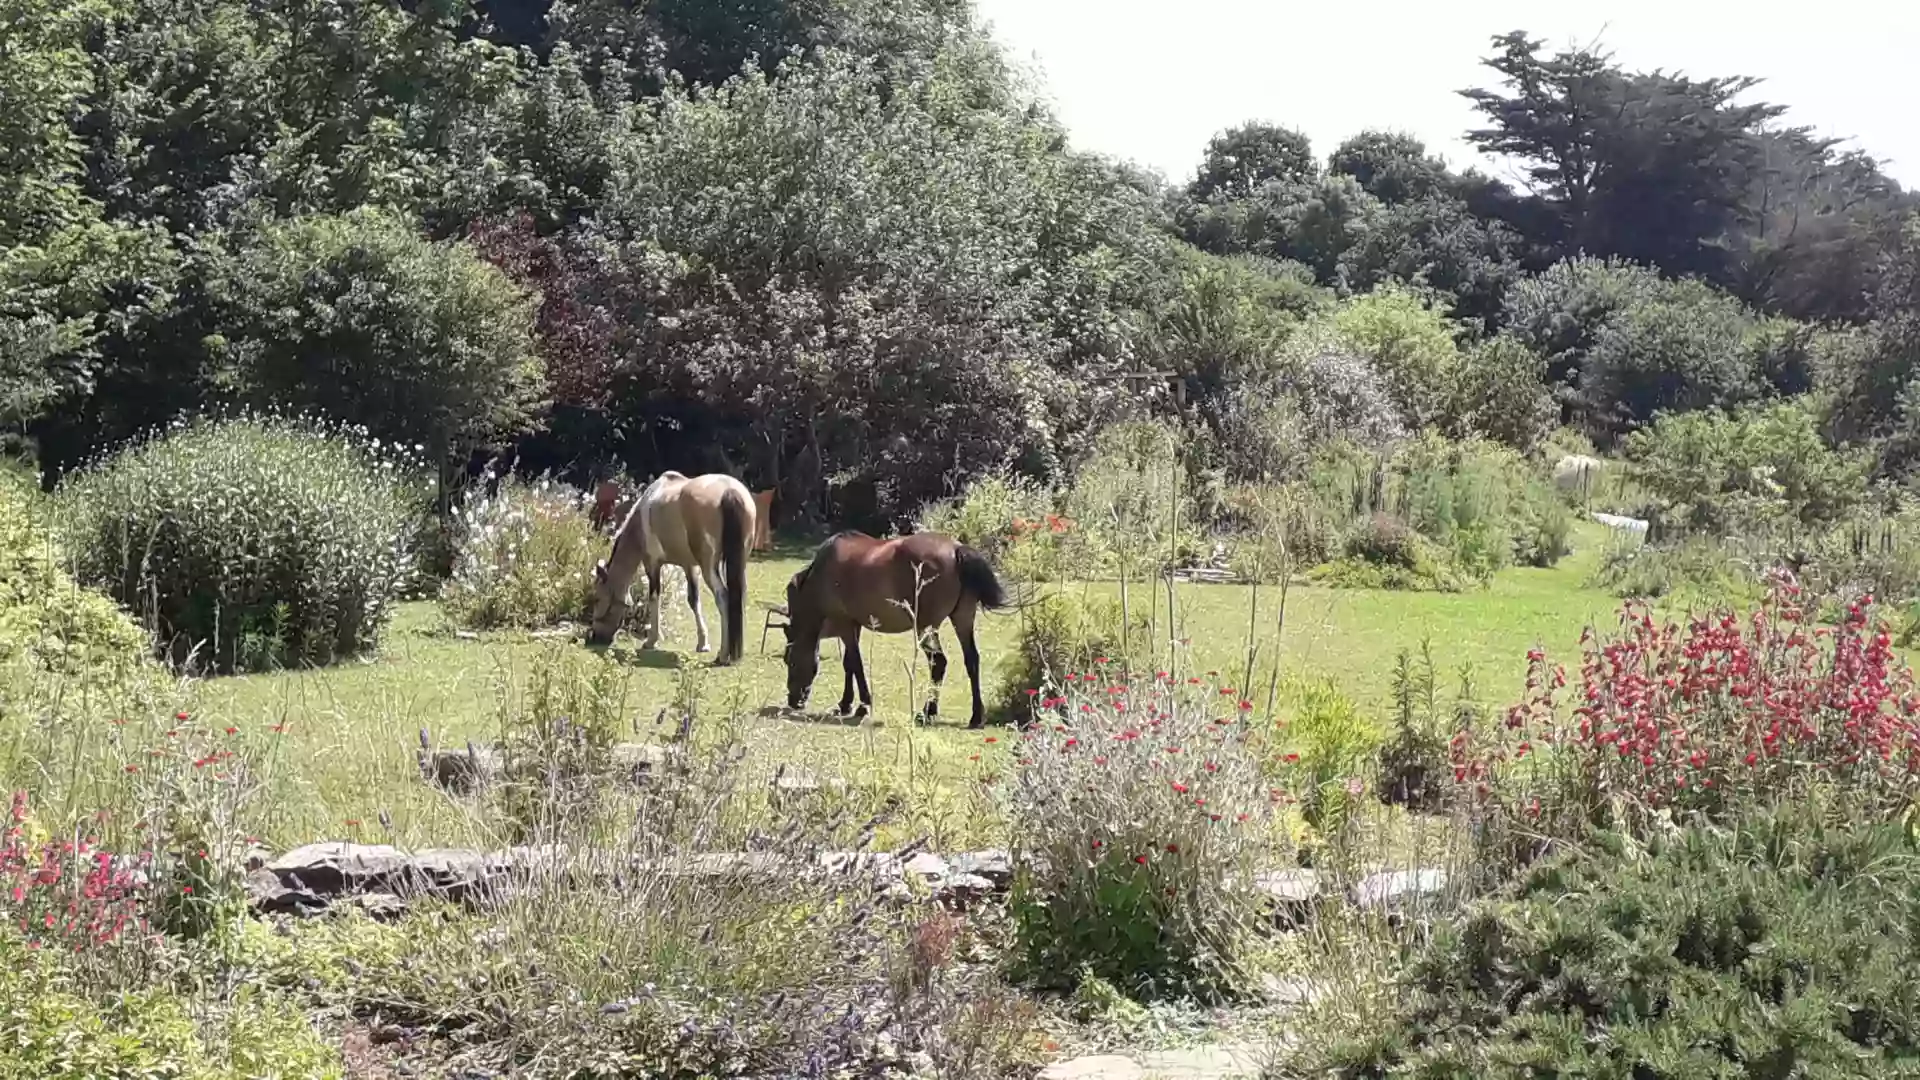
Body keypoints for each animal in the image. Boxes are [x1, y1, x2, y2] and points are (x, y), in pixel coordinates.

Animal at [587, 472, 752, 664]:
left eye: (597, 599)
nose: (595, 636)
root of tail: (729, 491)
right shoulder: (690, 566)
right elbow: (694, 600)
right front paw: (703, 643)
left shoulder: (652, 564)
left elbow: (653, 597)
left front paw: (651, 640)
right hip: (738, 565)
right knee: (737, 599)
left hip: (709, 568)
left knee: (723, 598)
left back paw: (723, 655)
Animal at [783, 526, 1013, 722]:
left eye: (790, 661)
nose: (793, 701)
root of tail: (956, 549)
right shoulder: (854, 624)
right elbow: (849, 663)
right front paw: (845, 704)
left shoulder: (844, 623)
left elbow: (855, 663)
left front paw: (863, 706)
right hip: (962, 618)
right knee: (971, 659)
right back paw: (976, 716)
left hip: (925, 627)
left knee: (938, 662)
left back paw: (928, 712)